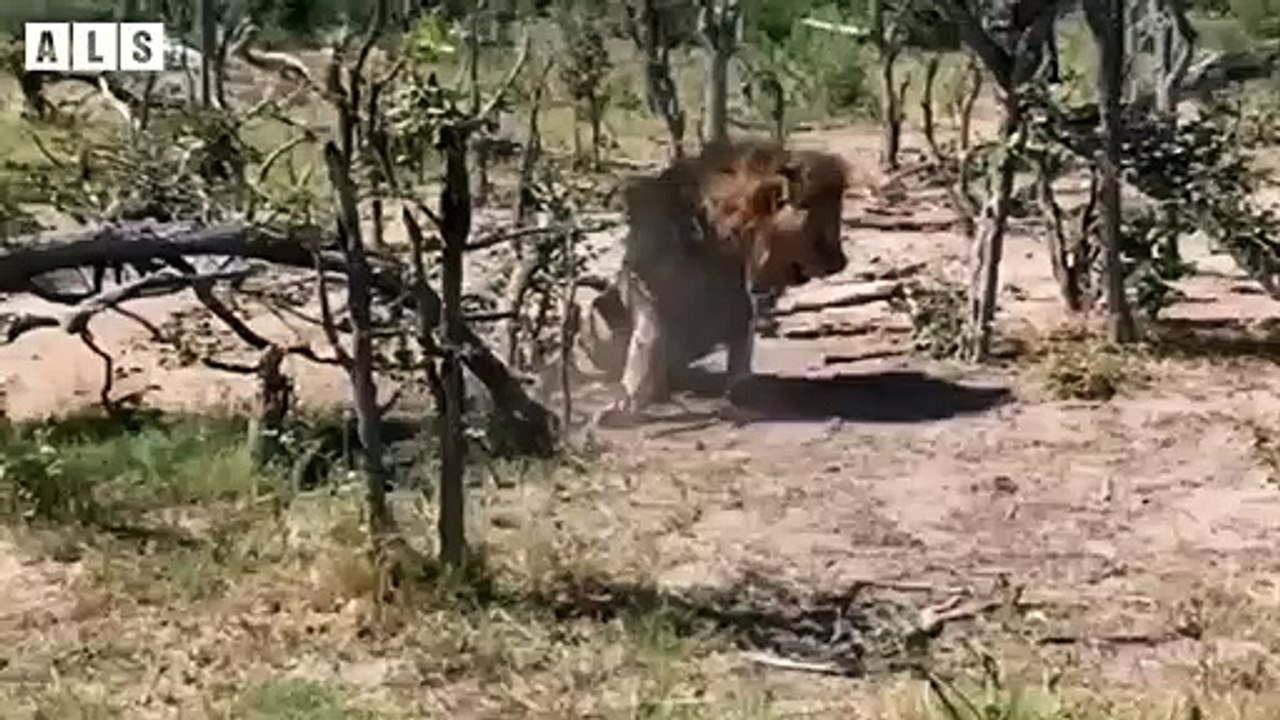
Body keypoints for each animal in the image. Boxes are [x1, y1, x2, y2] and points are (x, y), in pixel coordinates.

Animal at [584, 140, 850, 424]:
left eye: (837, 211)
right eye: (813, 214)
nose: (840, 262)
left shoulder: (741, 299)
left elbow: (740, 347)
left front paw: (743, 391)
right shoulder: (649, 287)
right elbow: (647, 343)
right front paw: (625, 406)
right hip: (597, 313)